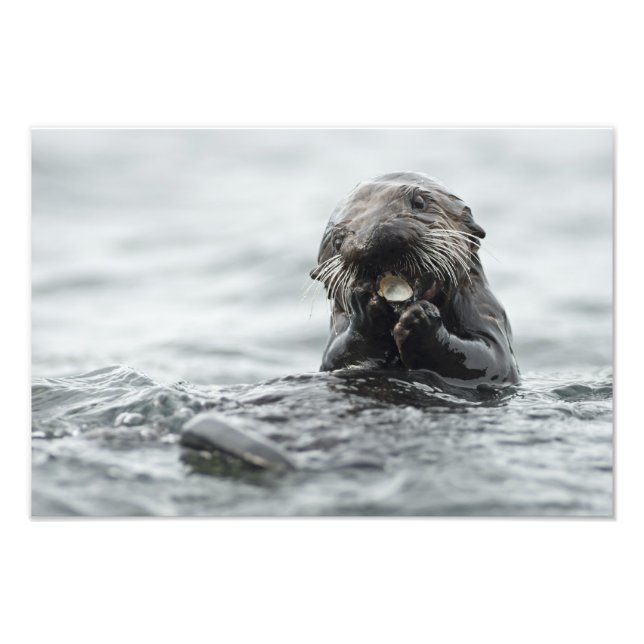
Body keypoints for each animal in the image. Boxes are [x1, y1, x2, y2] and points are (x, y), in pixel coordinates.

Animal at [311, 172, 519, 386]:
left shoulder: (485, 310)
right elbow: (337, 357)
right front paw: (365, 311)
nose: (374, 238)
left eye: (419, 202)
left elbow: (492, 359)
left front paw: (421, 318)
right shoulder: (336, 351)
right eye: (337, 241)